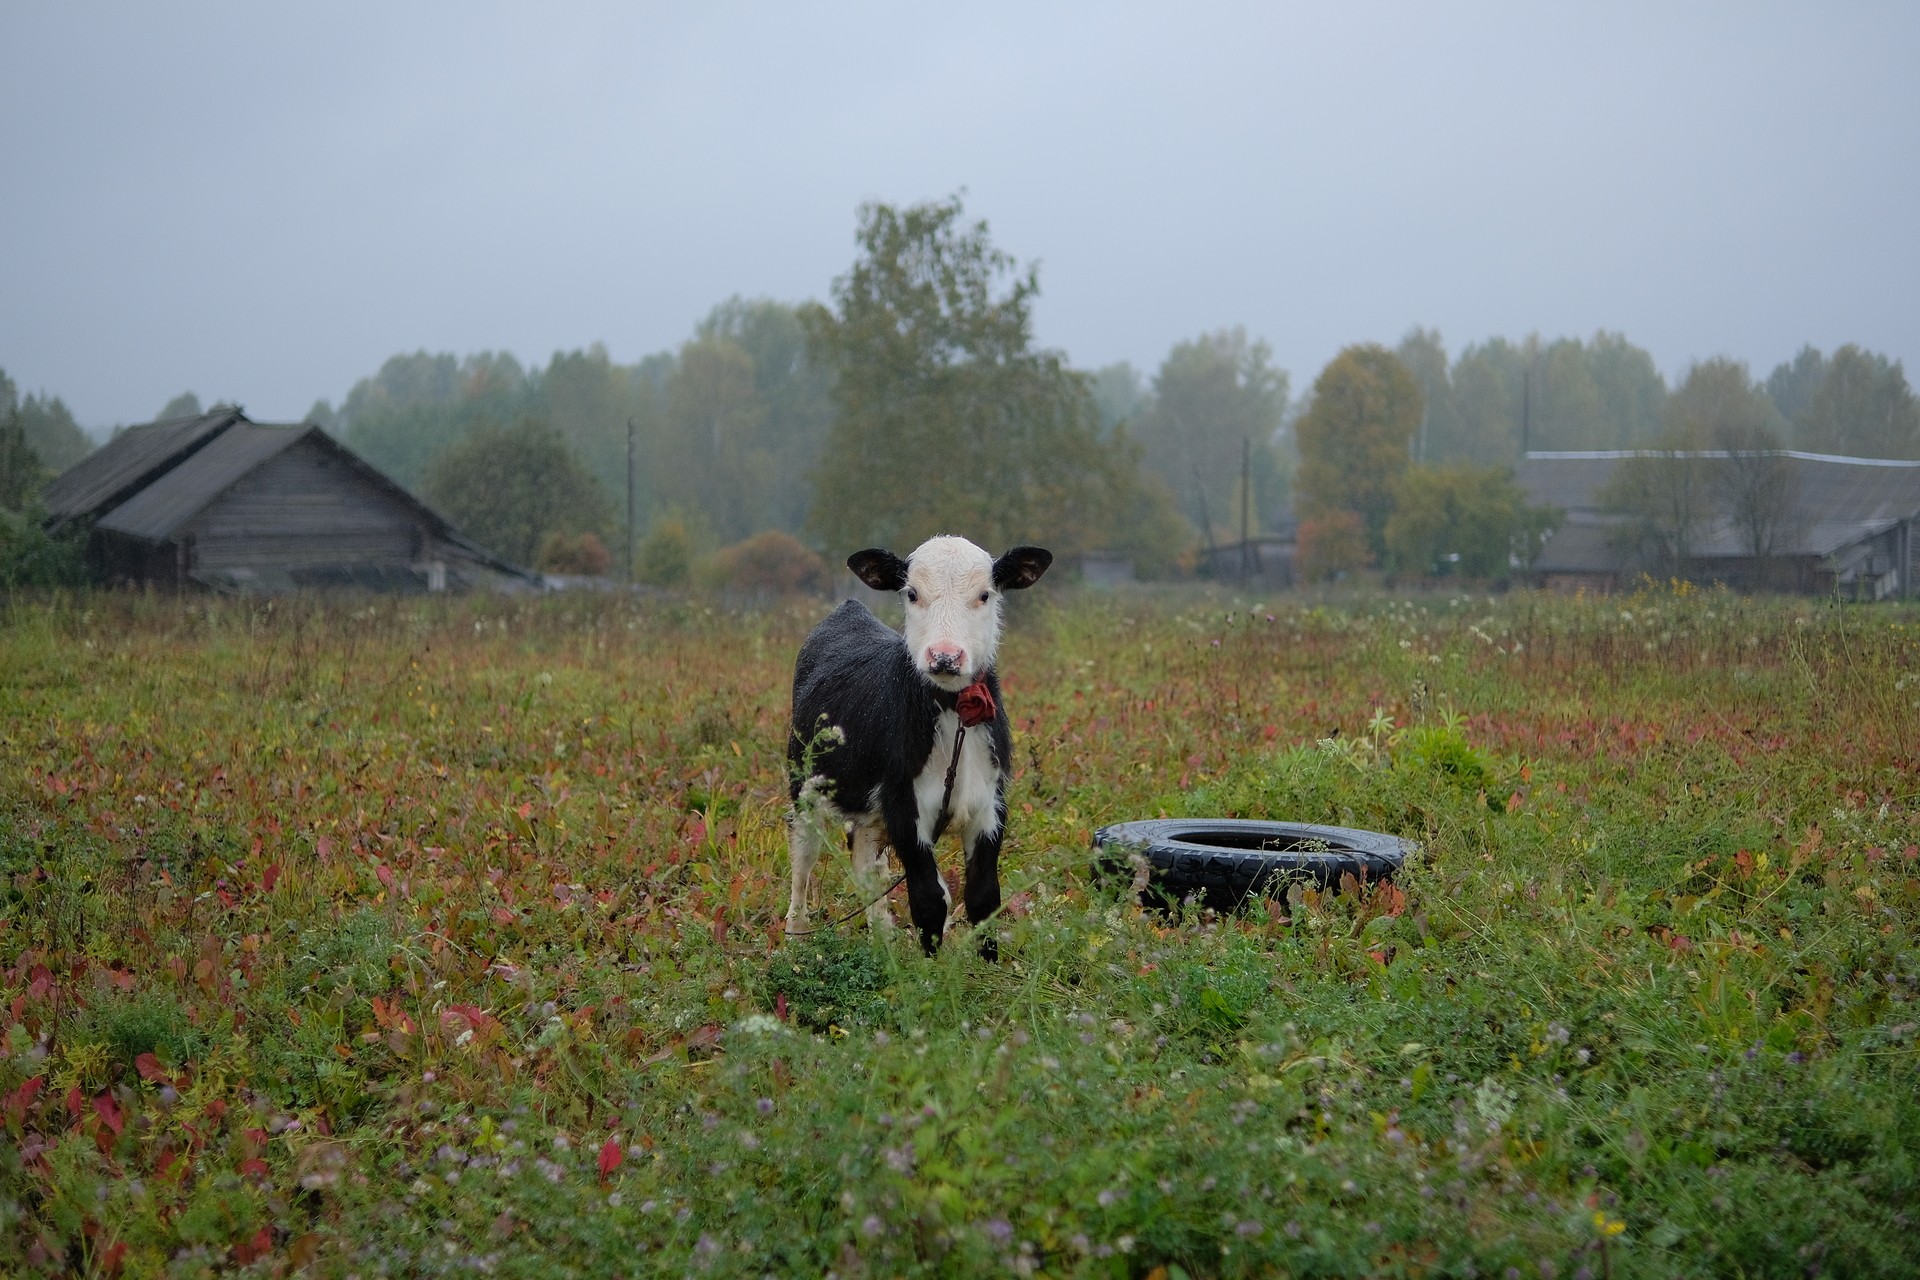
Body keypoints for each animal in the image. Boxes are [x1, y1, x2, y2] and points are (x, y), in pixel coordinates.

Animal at [779, 533, 1052, 951]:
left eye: (985, 594)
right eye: (912, 593)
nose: (945, 656)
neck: (954, 715)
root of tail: (850, 609)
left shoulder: (991, 803)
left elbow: (984, 898)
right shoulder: (904, 806)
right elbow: (929, 901)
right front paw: (931, 968)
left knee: (866, 864)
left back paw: (882, 939)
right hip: (804, 788)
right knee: (803, 858)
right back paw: (795, 936)